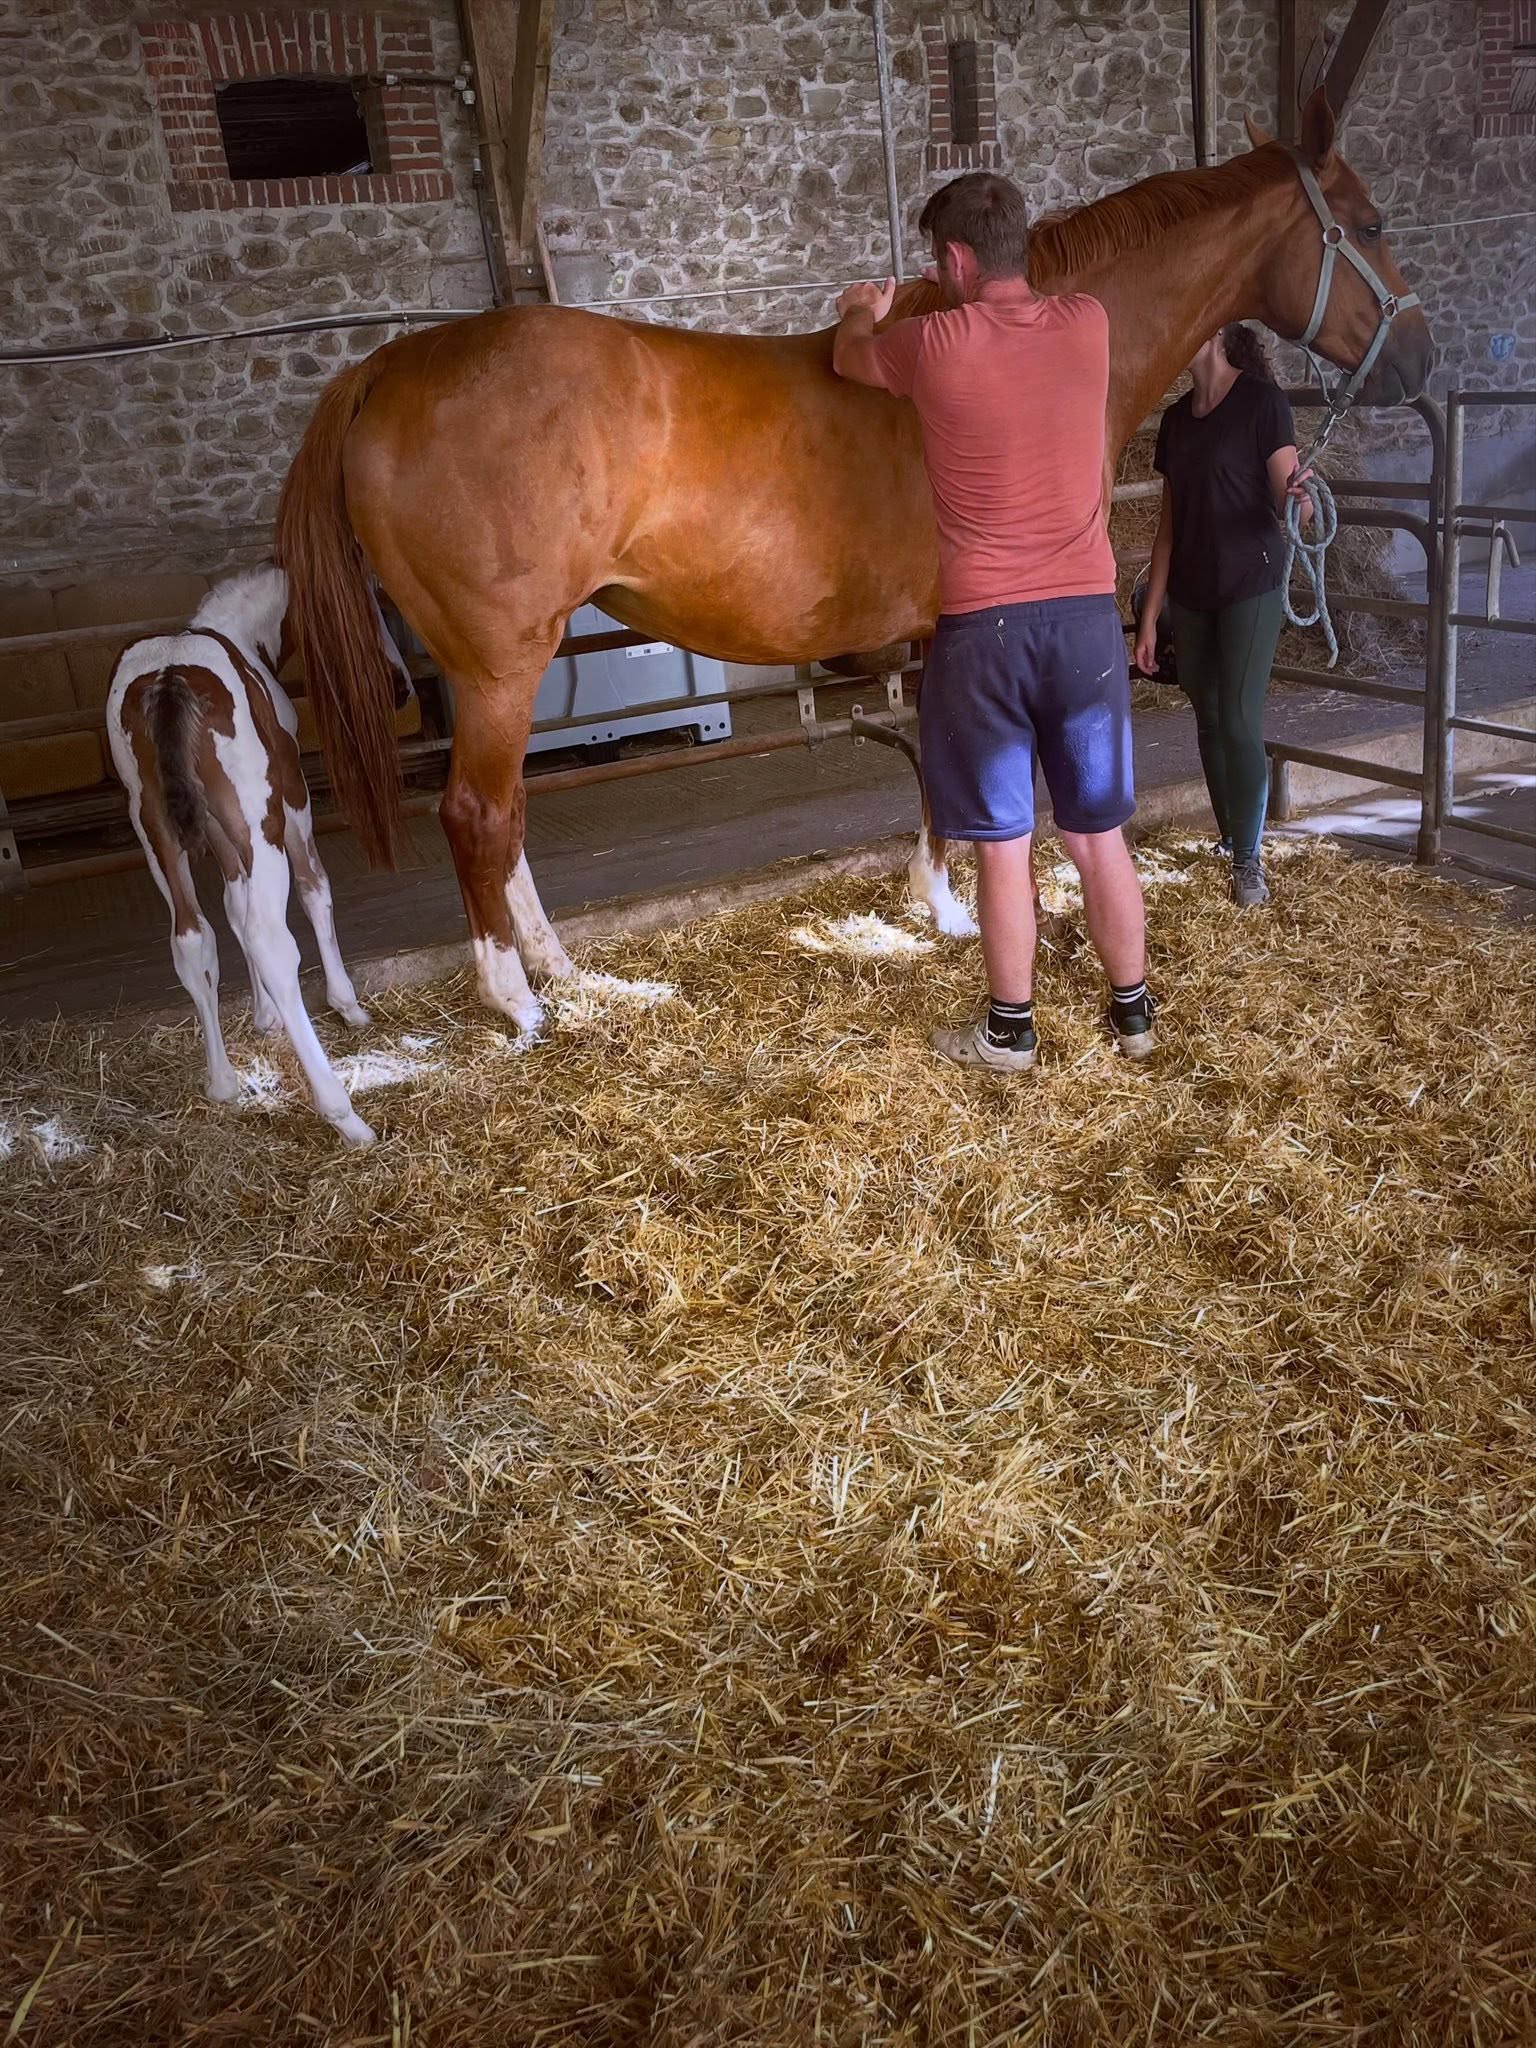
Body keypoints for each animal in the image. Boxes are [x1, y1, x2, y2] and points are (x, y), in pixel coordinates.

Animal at [107, 567, 378, 1148]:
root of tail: (168, 678)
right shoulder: (291, 804)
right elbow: (315, 889)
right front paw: (346, 1004)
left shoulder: (220, 835)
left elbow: (232, 906)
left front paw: (263, 1017)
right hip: (261, 822)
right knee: (270, 940)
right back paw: (343, 1113)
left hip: (156, 834)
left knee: (192, 938)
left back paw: (223, 1083)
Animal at [276, 90, 1431, 1033]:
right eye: (1371, 223)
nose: (1418, 363)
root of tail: (389, 367)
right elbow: (974, 781)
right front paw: (961, 912)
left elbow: (933, 770)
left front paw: (937, 901)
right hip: (497, 665)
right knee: (479, 817)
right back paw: (515, 998)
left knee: (505, 822)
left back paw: (563, 972)